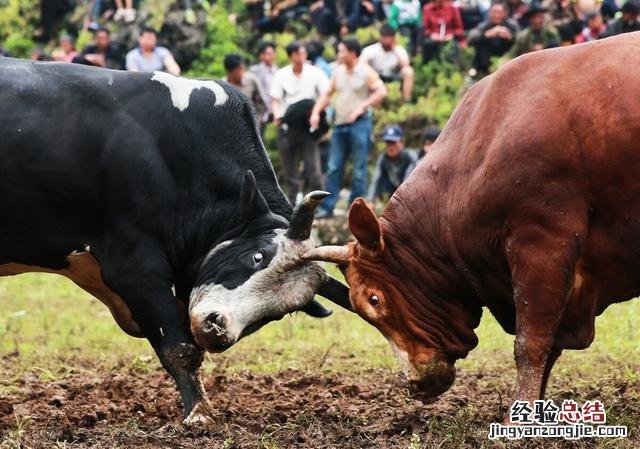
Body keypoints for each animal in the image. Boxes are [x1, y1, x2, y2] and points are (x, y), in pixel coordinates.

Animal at [0, 58, 350, 420]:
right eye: (256, 257)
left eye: (278, 313)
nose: (218, 329)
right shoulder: (134, 269)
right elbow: (179, 349)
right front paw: (199, 413)